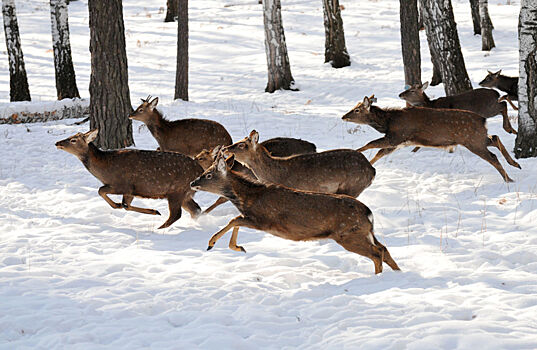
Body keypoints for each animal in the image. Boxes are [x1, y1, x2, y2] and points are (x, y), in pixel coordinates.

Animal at [56, 130, 203, 228]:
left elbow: (101, 190)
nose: (57, 143)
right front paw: (151, 211)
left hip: (176, 190)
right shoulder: (131, 190)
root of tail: (200, 170)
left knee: (176, 214)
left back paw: (159, 228)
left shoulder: (122, 185)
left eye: (73, 140)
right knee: (195, 209)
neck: (105, 171)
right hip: (185, 193)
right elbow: (125, 205)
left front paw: (117, 205)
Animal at [191, 150, 400, 274]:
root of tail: (368, 213)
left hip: (348, 234)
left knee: (376, 253)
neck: (247, 197)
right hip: (363, 232)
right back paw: (397, 273)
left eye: (208, 175)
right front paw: (238, 247)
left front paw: (212, 243)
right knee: (383, 248)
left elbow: (234, 220)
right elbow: (235, 220)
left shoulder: (264, 220)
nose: (193, 183)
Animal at [342, 95, 520, 183]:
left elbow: (370, 144)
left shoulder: (396, 136)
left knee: (492, 155)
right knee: (494, 137)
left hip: (472, 140)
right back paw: (515, 163)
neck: (388, 122)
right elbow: (379, 152)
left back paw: (509, 178)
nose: (344, 116)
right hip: (477, 138)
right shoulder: (399, 142)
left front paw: (352, 153)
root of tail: (483, 120)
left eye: (357, 110)